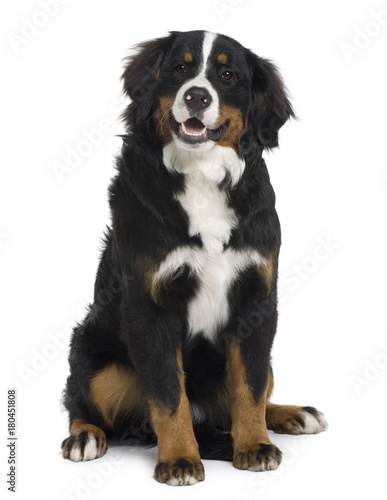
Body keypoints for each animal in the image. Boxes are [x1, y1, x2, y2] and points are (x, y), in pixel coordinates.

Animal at [61, 30, 328, 484]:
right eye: (180, 68)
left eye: (227, 74)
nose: (198, 96)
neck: (202, 175)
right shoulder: (150, 307)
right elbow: (169, 396)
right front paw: (180, 459)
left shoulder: (256, 300)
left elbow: (250, 387)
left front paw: (254, 445)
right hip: (96, 356)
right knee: (83, 403)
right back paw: (84, 436)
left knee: (261, 388)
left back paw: (292, 414)